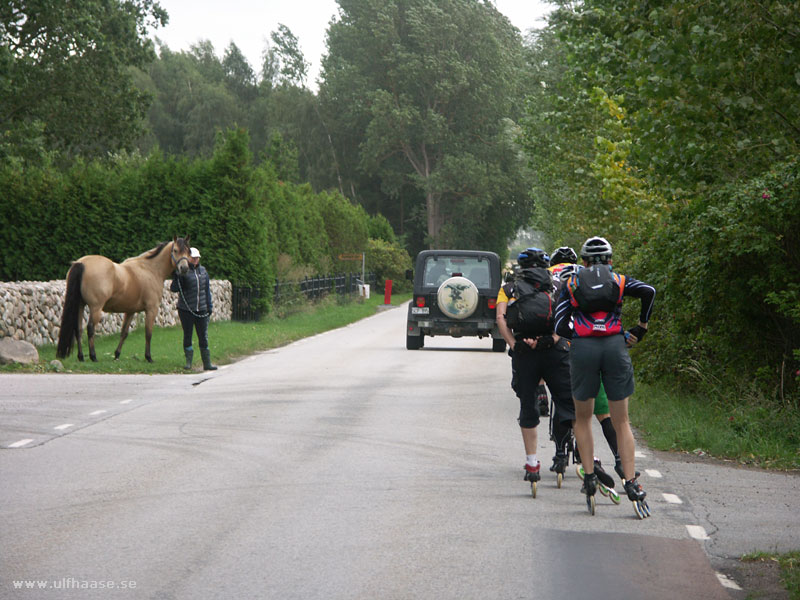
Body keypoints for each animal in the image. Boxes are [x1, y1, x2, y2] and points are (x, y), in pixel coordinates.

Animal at [56, 237, 192, 364]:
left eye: (188, 251)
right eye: (175, 250)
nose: (184, 268)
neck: (151, 270)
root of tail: (81, 263)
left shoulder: (130, 311)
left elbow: (124, 333)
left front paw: (116, 355)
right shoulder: (151, 309)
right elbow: (148, 333)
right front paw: (148, 357)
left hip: (80, 305)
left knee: (78, 330)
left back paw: (81, 357)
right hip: (95, 308)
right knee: (90, 329)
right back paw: (93, 356)